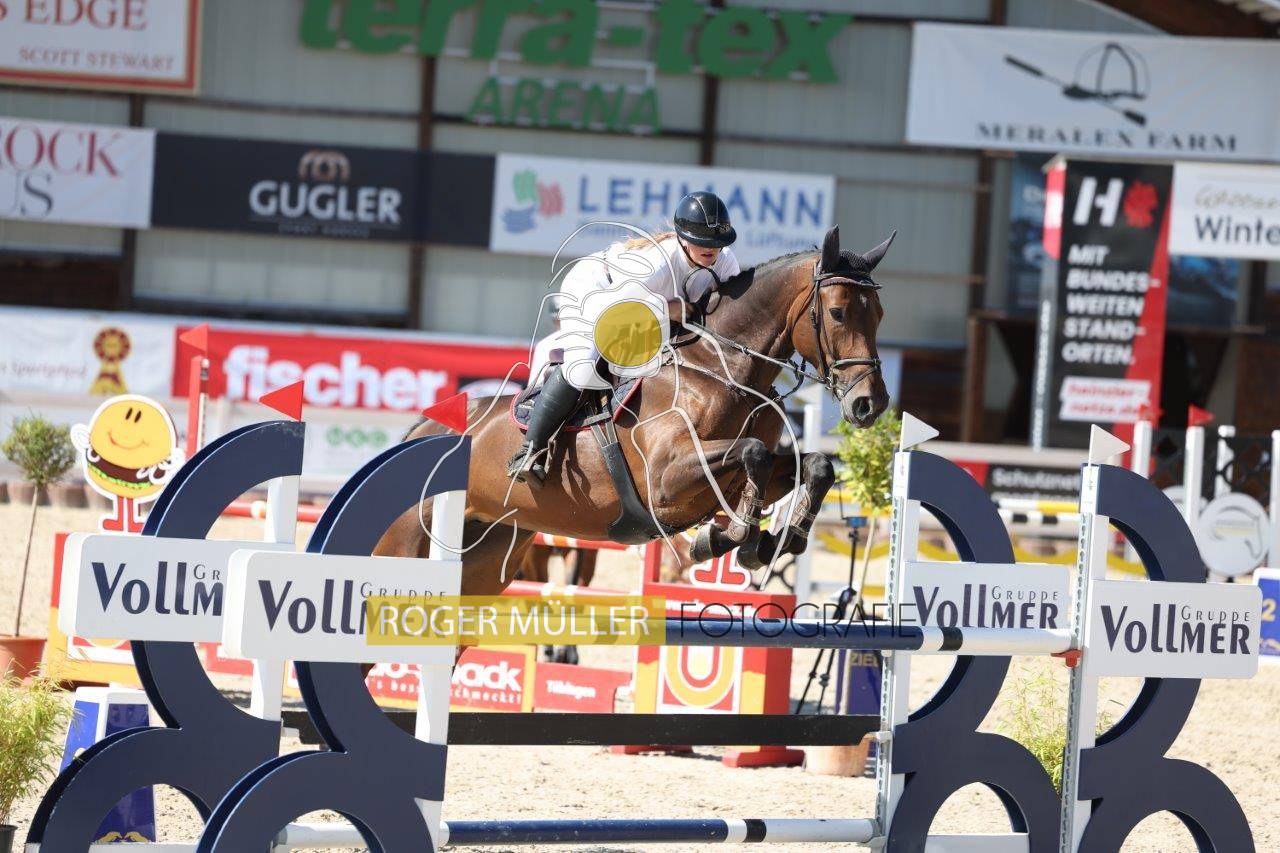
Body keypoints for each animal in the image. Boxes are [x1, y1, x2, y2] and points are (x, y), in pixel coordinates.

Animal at [373, 225, 892, 596]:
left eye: (880, 314)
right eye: (839, 312)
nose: (871, 404)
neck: (723, 369)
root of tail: (420, 430)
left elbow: (815, 466)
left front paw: (776, 539)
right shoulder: (665, 478)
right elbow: (753, 454)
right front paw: (730, 538)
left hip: (486, 560)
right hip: (402, 544)